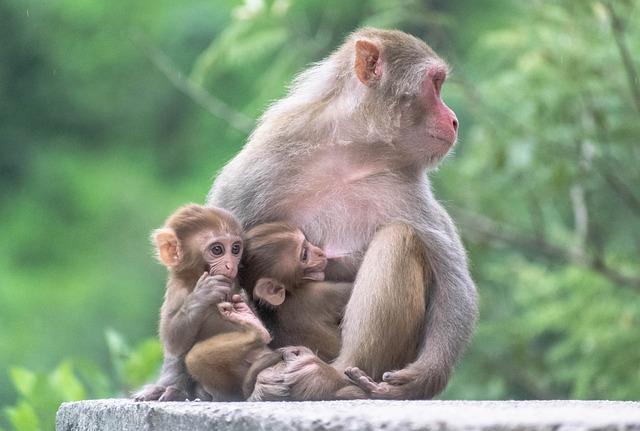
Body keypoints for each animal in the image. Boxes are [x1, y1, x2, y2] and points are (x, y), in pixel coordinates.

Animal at [208, 26, 478, 398]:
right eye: (434, 84)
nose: (454, 120)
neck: (351, 153)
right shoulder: (263, 164)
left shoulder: (408, 189)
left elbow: (453, 284)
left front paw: (423, 377)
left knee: (399, 238)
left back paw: (331, 379)